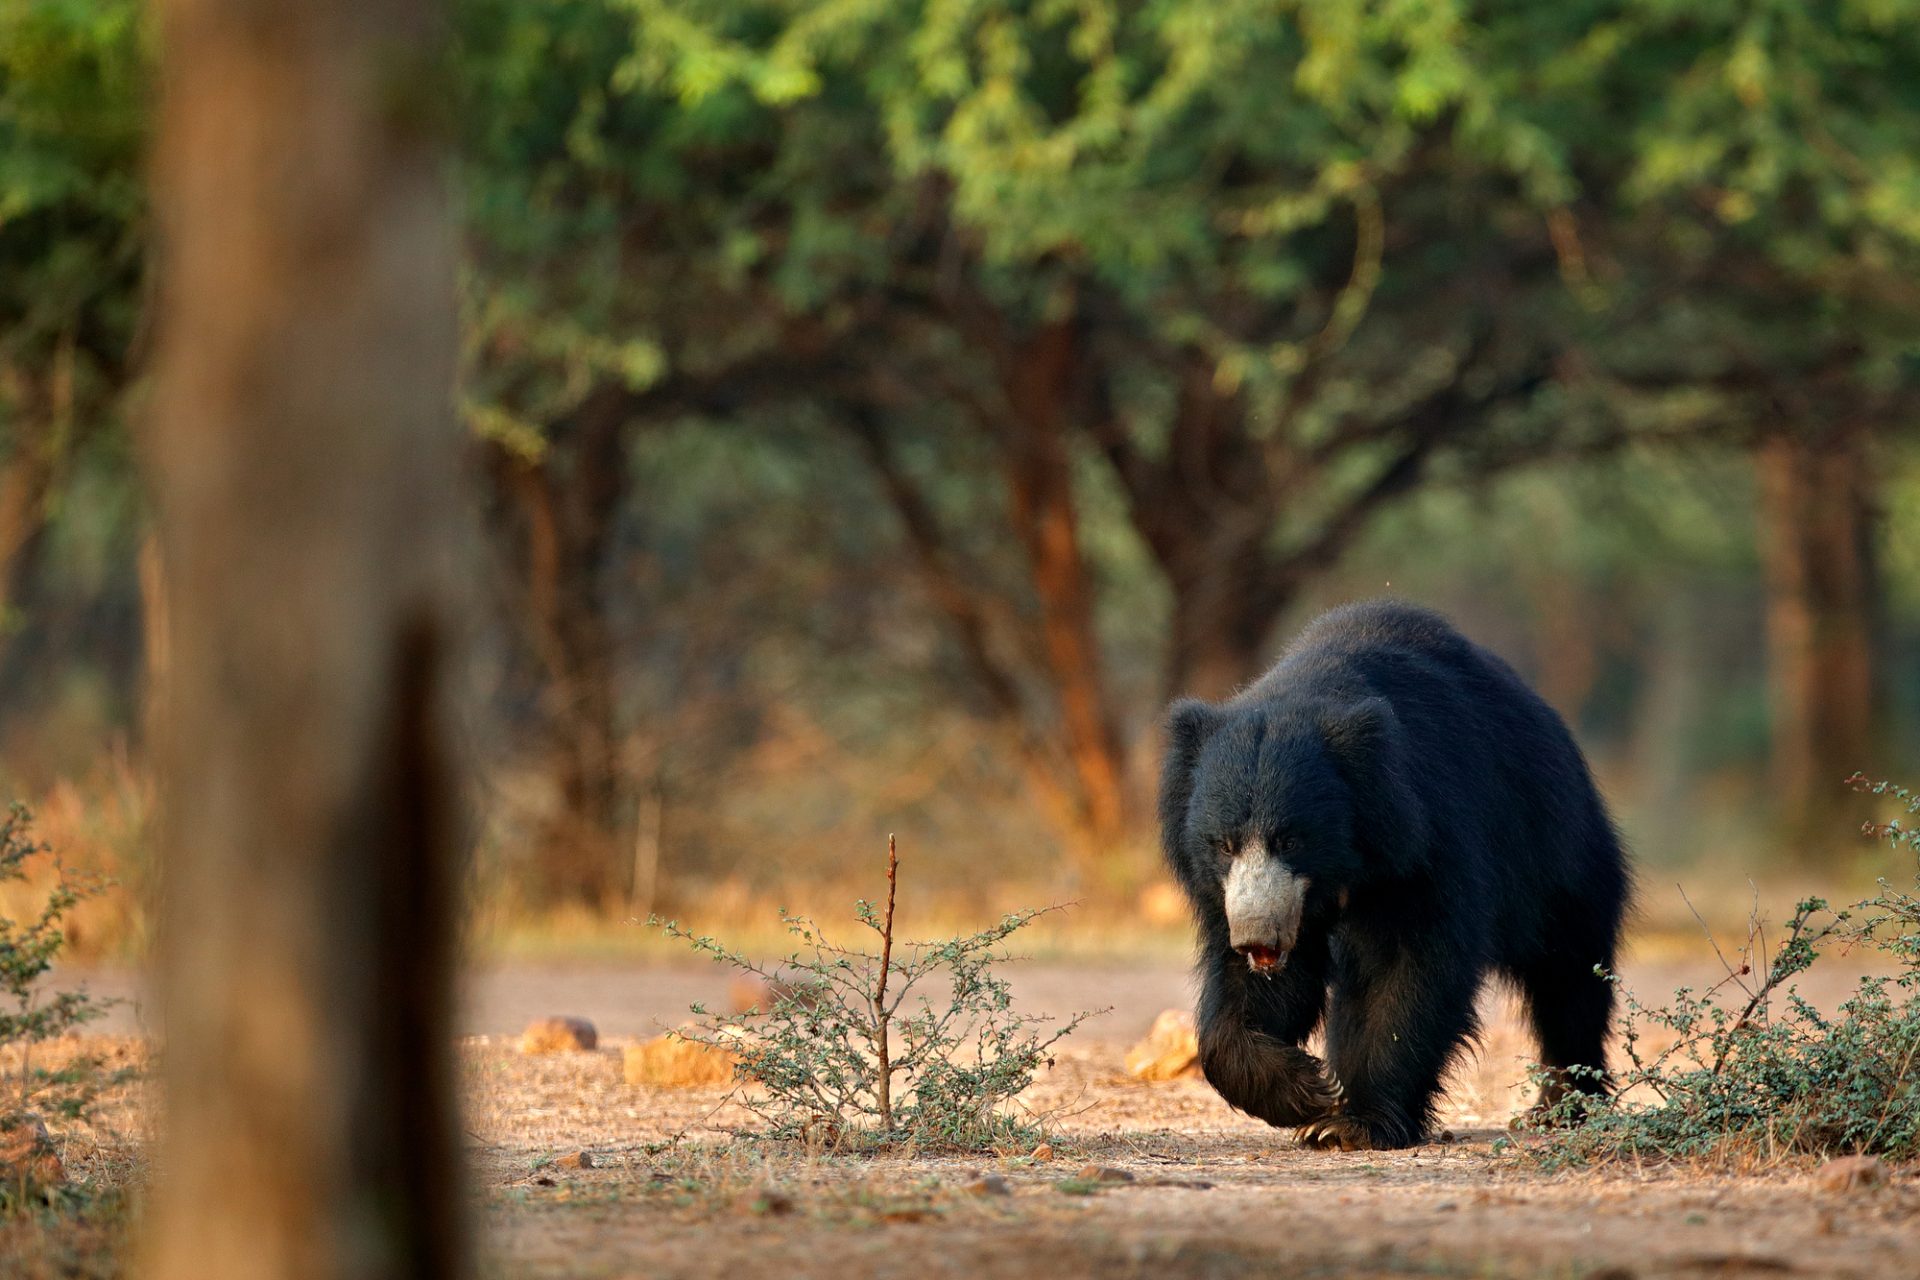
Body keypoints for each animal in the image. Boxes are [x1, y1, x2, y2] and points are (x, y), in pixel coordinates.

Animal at [1159, 602, 1628, 1151]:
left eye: (1291, 840)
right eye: (1224, 845)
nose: (1257, 936)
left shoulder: (1424, 840)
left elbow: (1408, 969)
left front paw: (1349, 1122)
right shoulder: (1241, 897)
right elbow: (1252, 993)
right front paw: (1308, 1090)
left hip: (1557, 856)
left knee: (1569, 977)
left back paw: (1559, 1107)